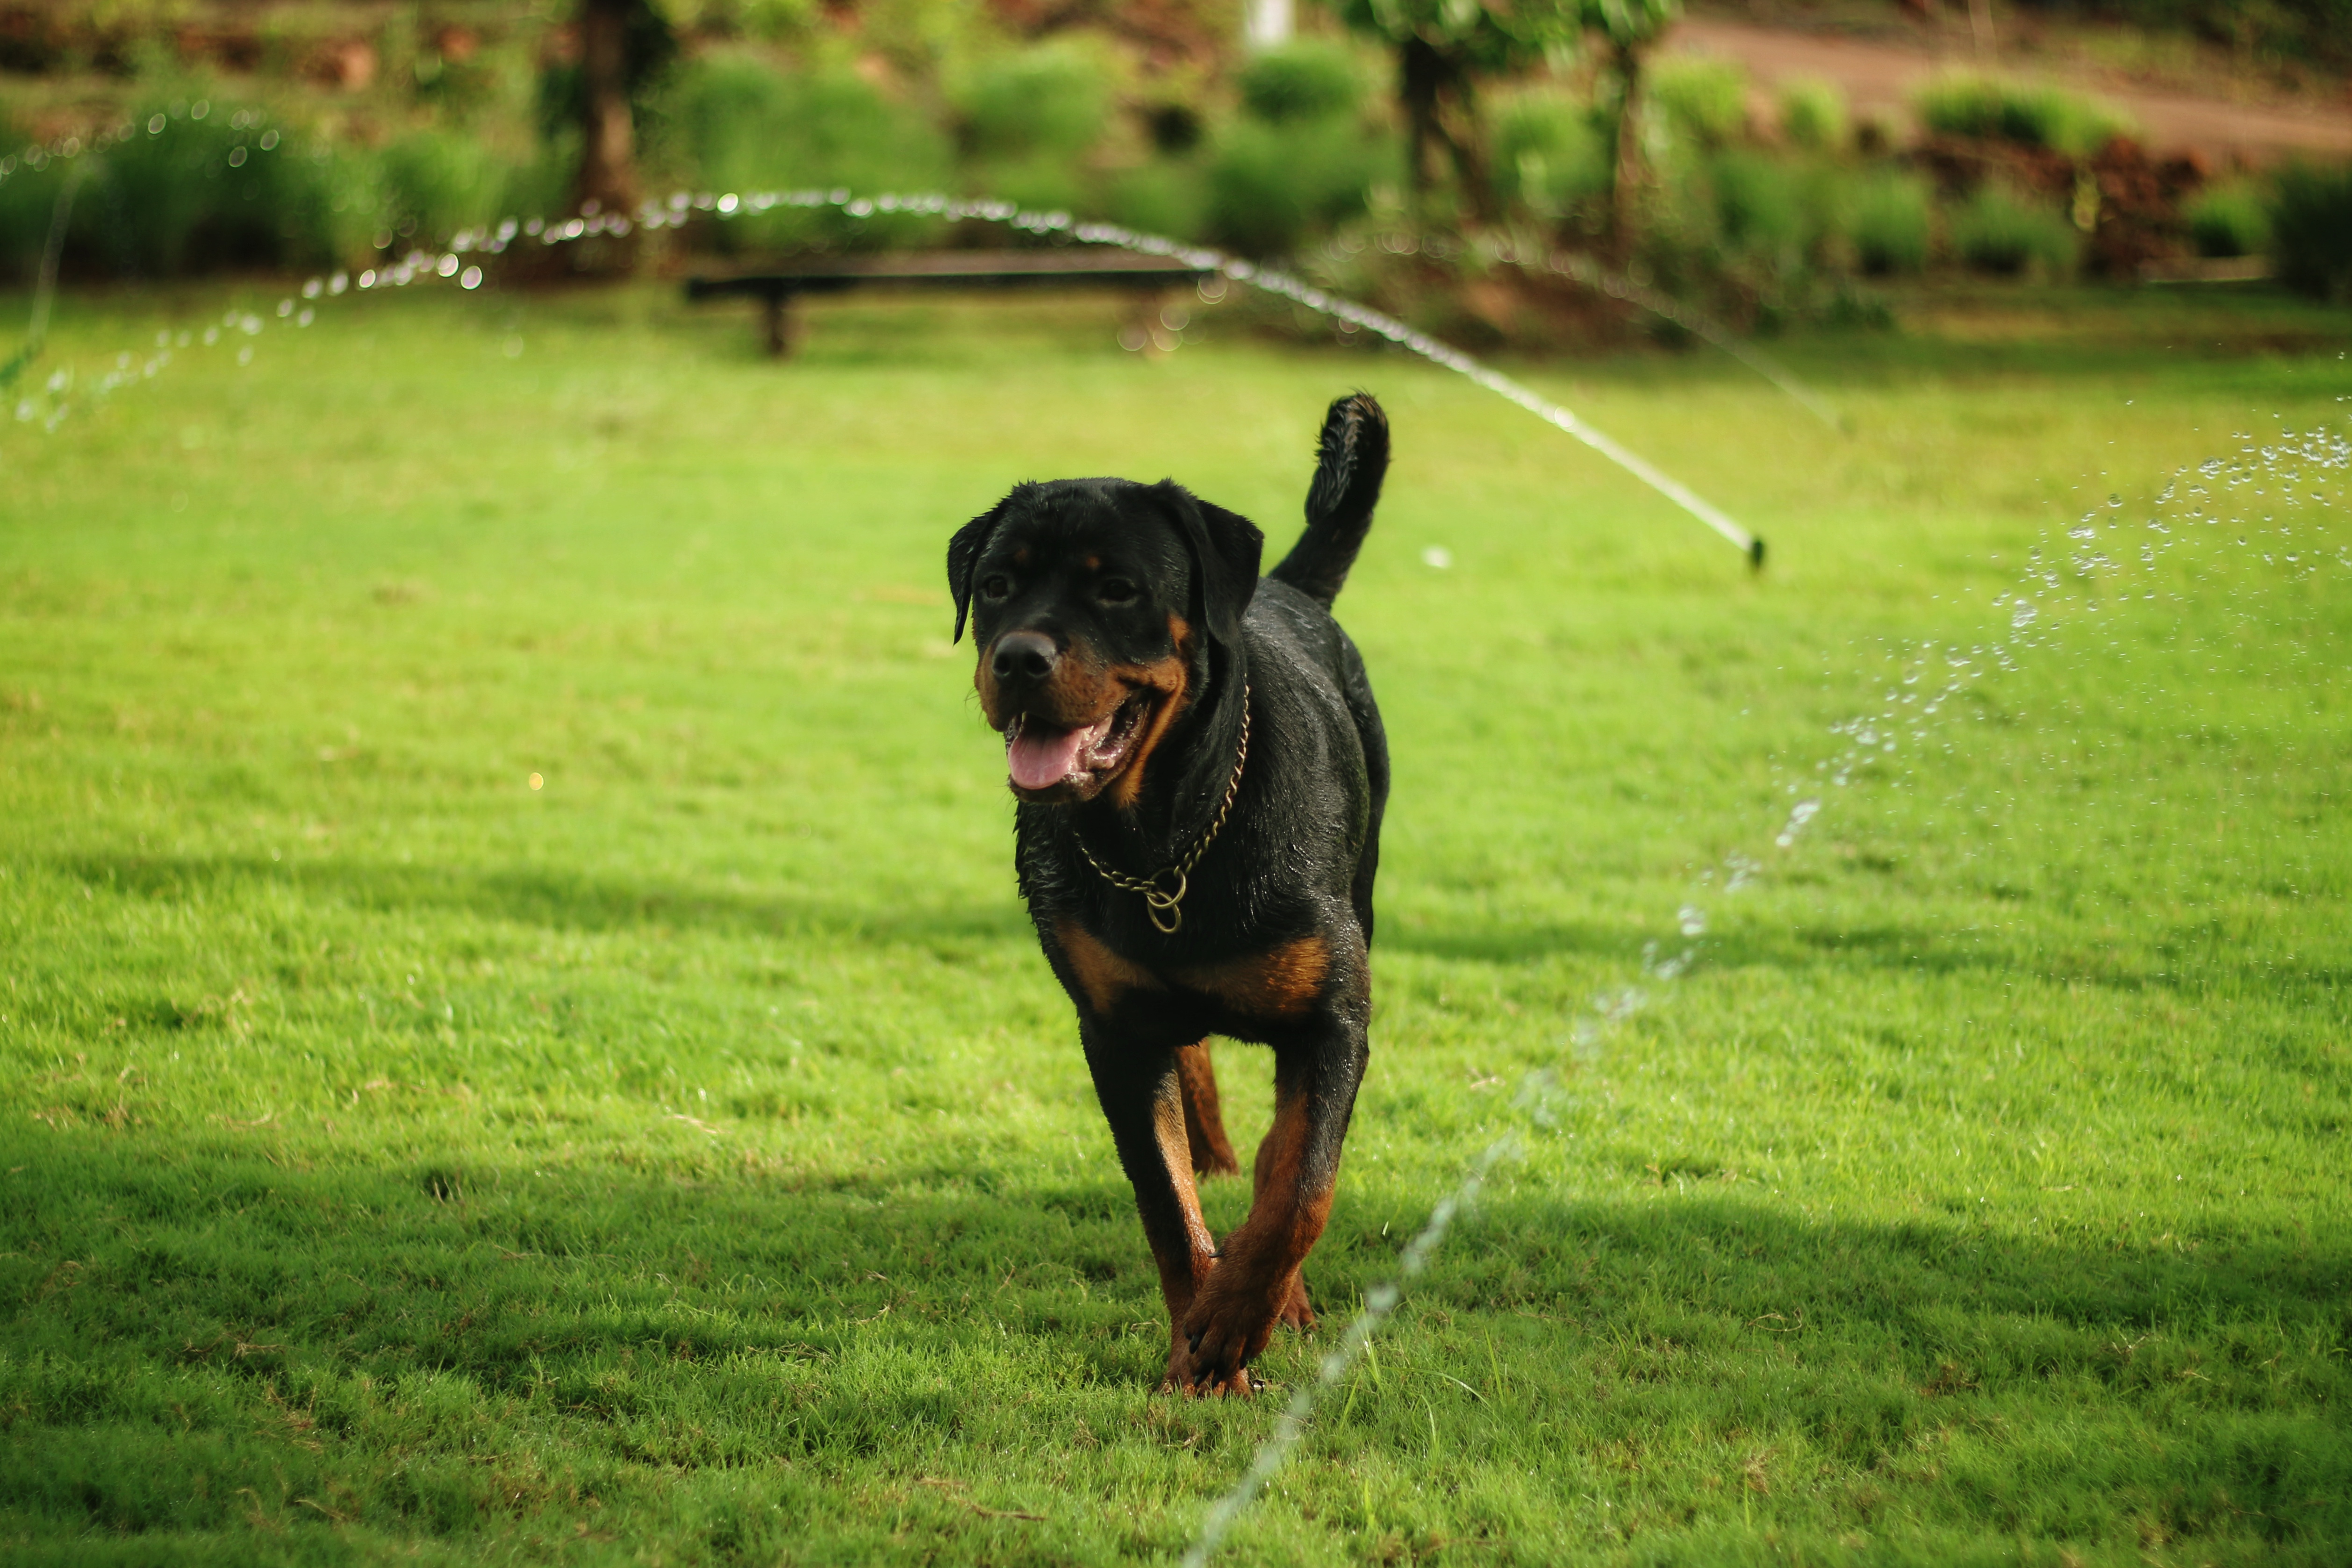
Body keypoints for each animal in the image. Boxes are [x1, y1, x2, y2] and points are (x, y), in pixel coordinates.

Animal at [946, 393, 1390, 1395]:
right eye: (995, 585)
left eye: (1117, 590)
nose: (1017, 657)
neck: (1163, 843)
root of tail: (1286, 589)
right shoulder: (1113, 1032)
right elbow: (1165, 1196)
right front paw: (1201, 1349)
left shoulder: (1333, 1017)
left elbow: (1299, 1186)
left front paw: (1242, 1317)